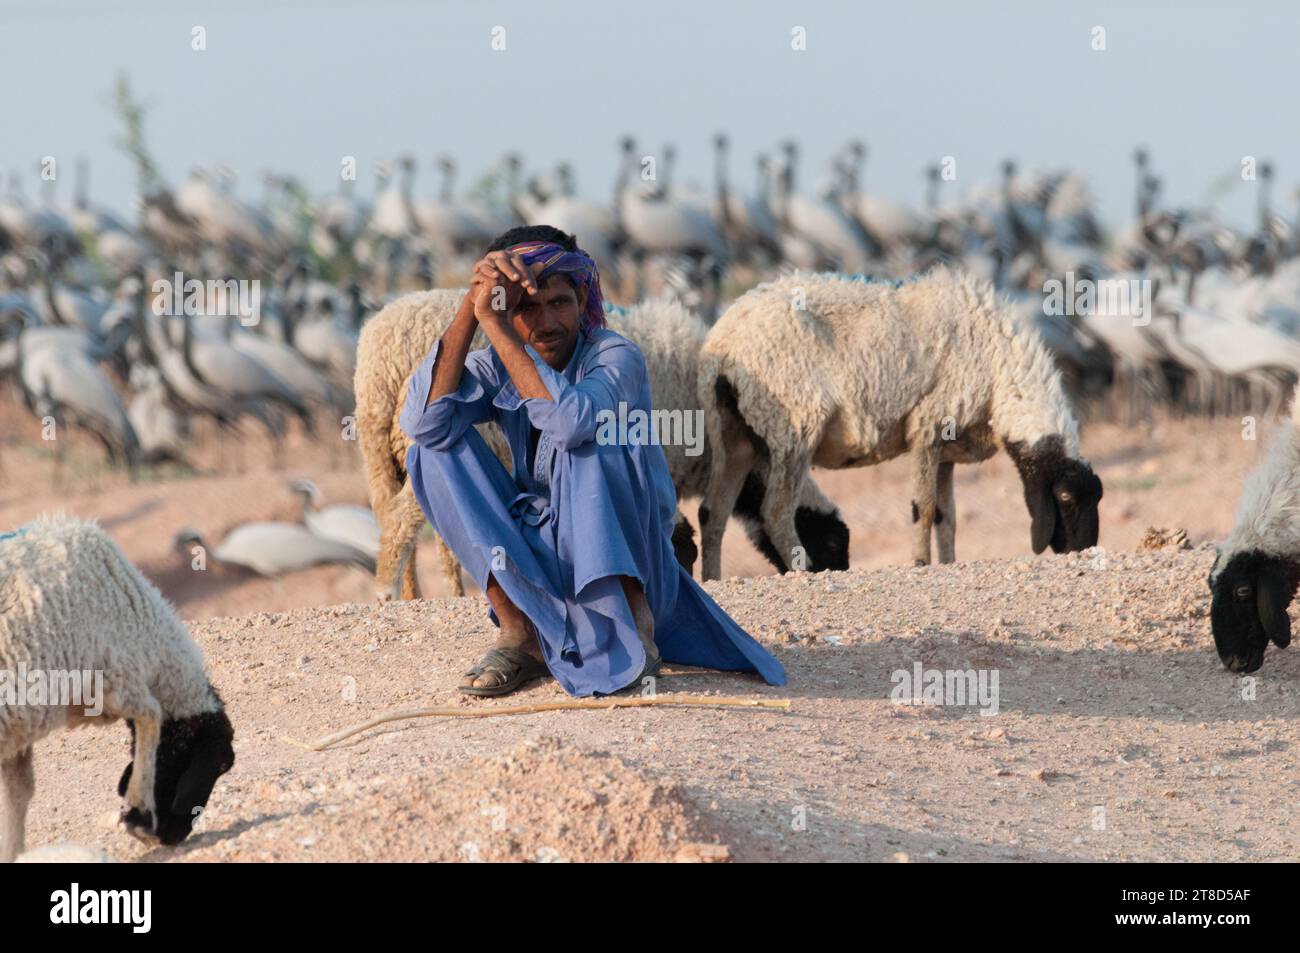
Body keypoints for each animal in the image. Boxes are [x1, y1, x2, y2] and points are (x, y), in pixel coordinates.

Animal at [1, 517, 233, 858]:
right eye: (222, 765)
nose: (174, 836)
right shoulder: (112, 679)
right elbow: (151, 716)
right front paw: (140, 817)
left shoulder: (20, 723)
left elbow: (18, 792)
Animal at [696, 267, 1102, 579]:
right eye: (1065, 496)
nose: (1082, 550)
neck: (1001, 375)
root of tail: (724, 342)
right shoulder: (928, 426)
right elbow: (924, 509)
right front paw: (921, 562)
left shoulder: (947, 449)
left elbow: (948, 517)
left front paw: (948, 562)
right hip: (794, 425)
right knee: (776, 512)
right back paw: (803, 571)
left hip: (734, 434)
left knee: (712, 512)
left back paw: (712, 579)